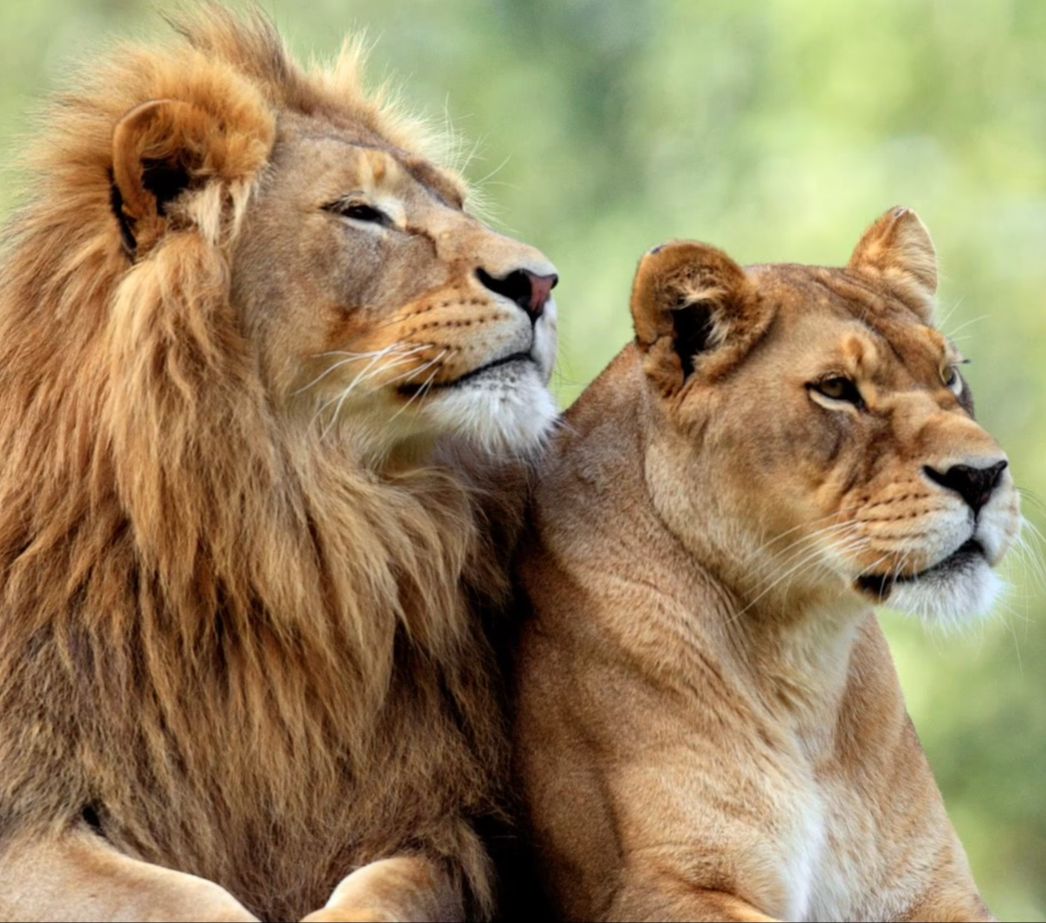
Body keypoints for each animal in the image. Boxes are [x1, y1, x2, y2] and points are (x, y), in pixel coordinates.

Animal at [0, 8, 558, 922]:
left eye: (457, 203)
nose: (543, 281)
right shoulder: (27, 813)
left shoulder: (443, 821)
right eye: (361, 212)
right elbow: (186, 901)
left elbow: (385, 890)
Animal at [512, 208, 1019, 922]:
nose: (983, 476)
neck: (803, 660)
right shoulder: (652, 888)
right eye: (836, 389)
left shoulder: (932, 887)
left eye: (949, 375)